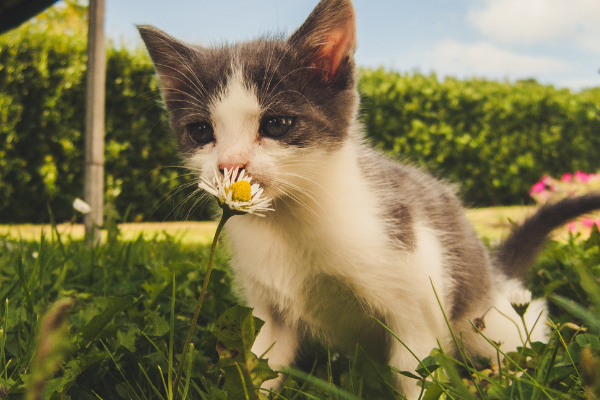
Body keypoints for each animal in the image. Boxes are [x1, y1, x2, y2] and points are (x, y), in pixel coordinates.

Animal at [138, 0, 600, 396]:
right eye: (201, 131)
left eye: (277, 124)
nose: (230, 166)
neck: (290, 221)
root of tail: (494, 271)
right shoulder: (268, 313)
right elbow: (261, 365)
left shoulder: (417, 292)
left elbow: (419, 373)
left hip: (485, 316)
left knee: (521, 328)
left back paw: (509, 376)